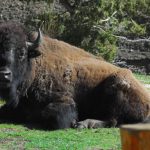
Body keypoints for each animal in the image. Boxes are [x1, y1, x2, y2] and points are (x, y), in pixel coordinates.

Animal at [0, 21, 150, 129]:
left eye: (22, 53)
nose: (4, 75)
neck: (36, 65)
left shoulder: (64, 100)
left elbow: (50, 114)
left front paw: (73, 122)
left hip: (115, 87)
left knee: (112, 120)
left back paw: (83, 124)